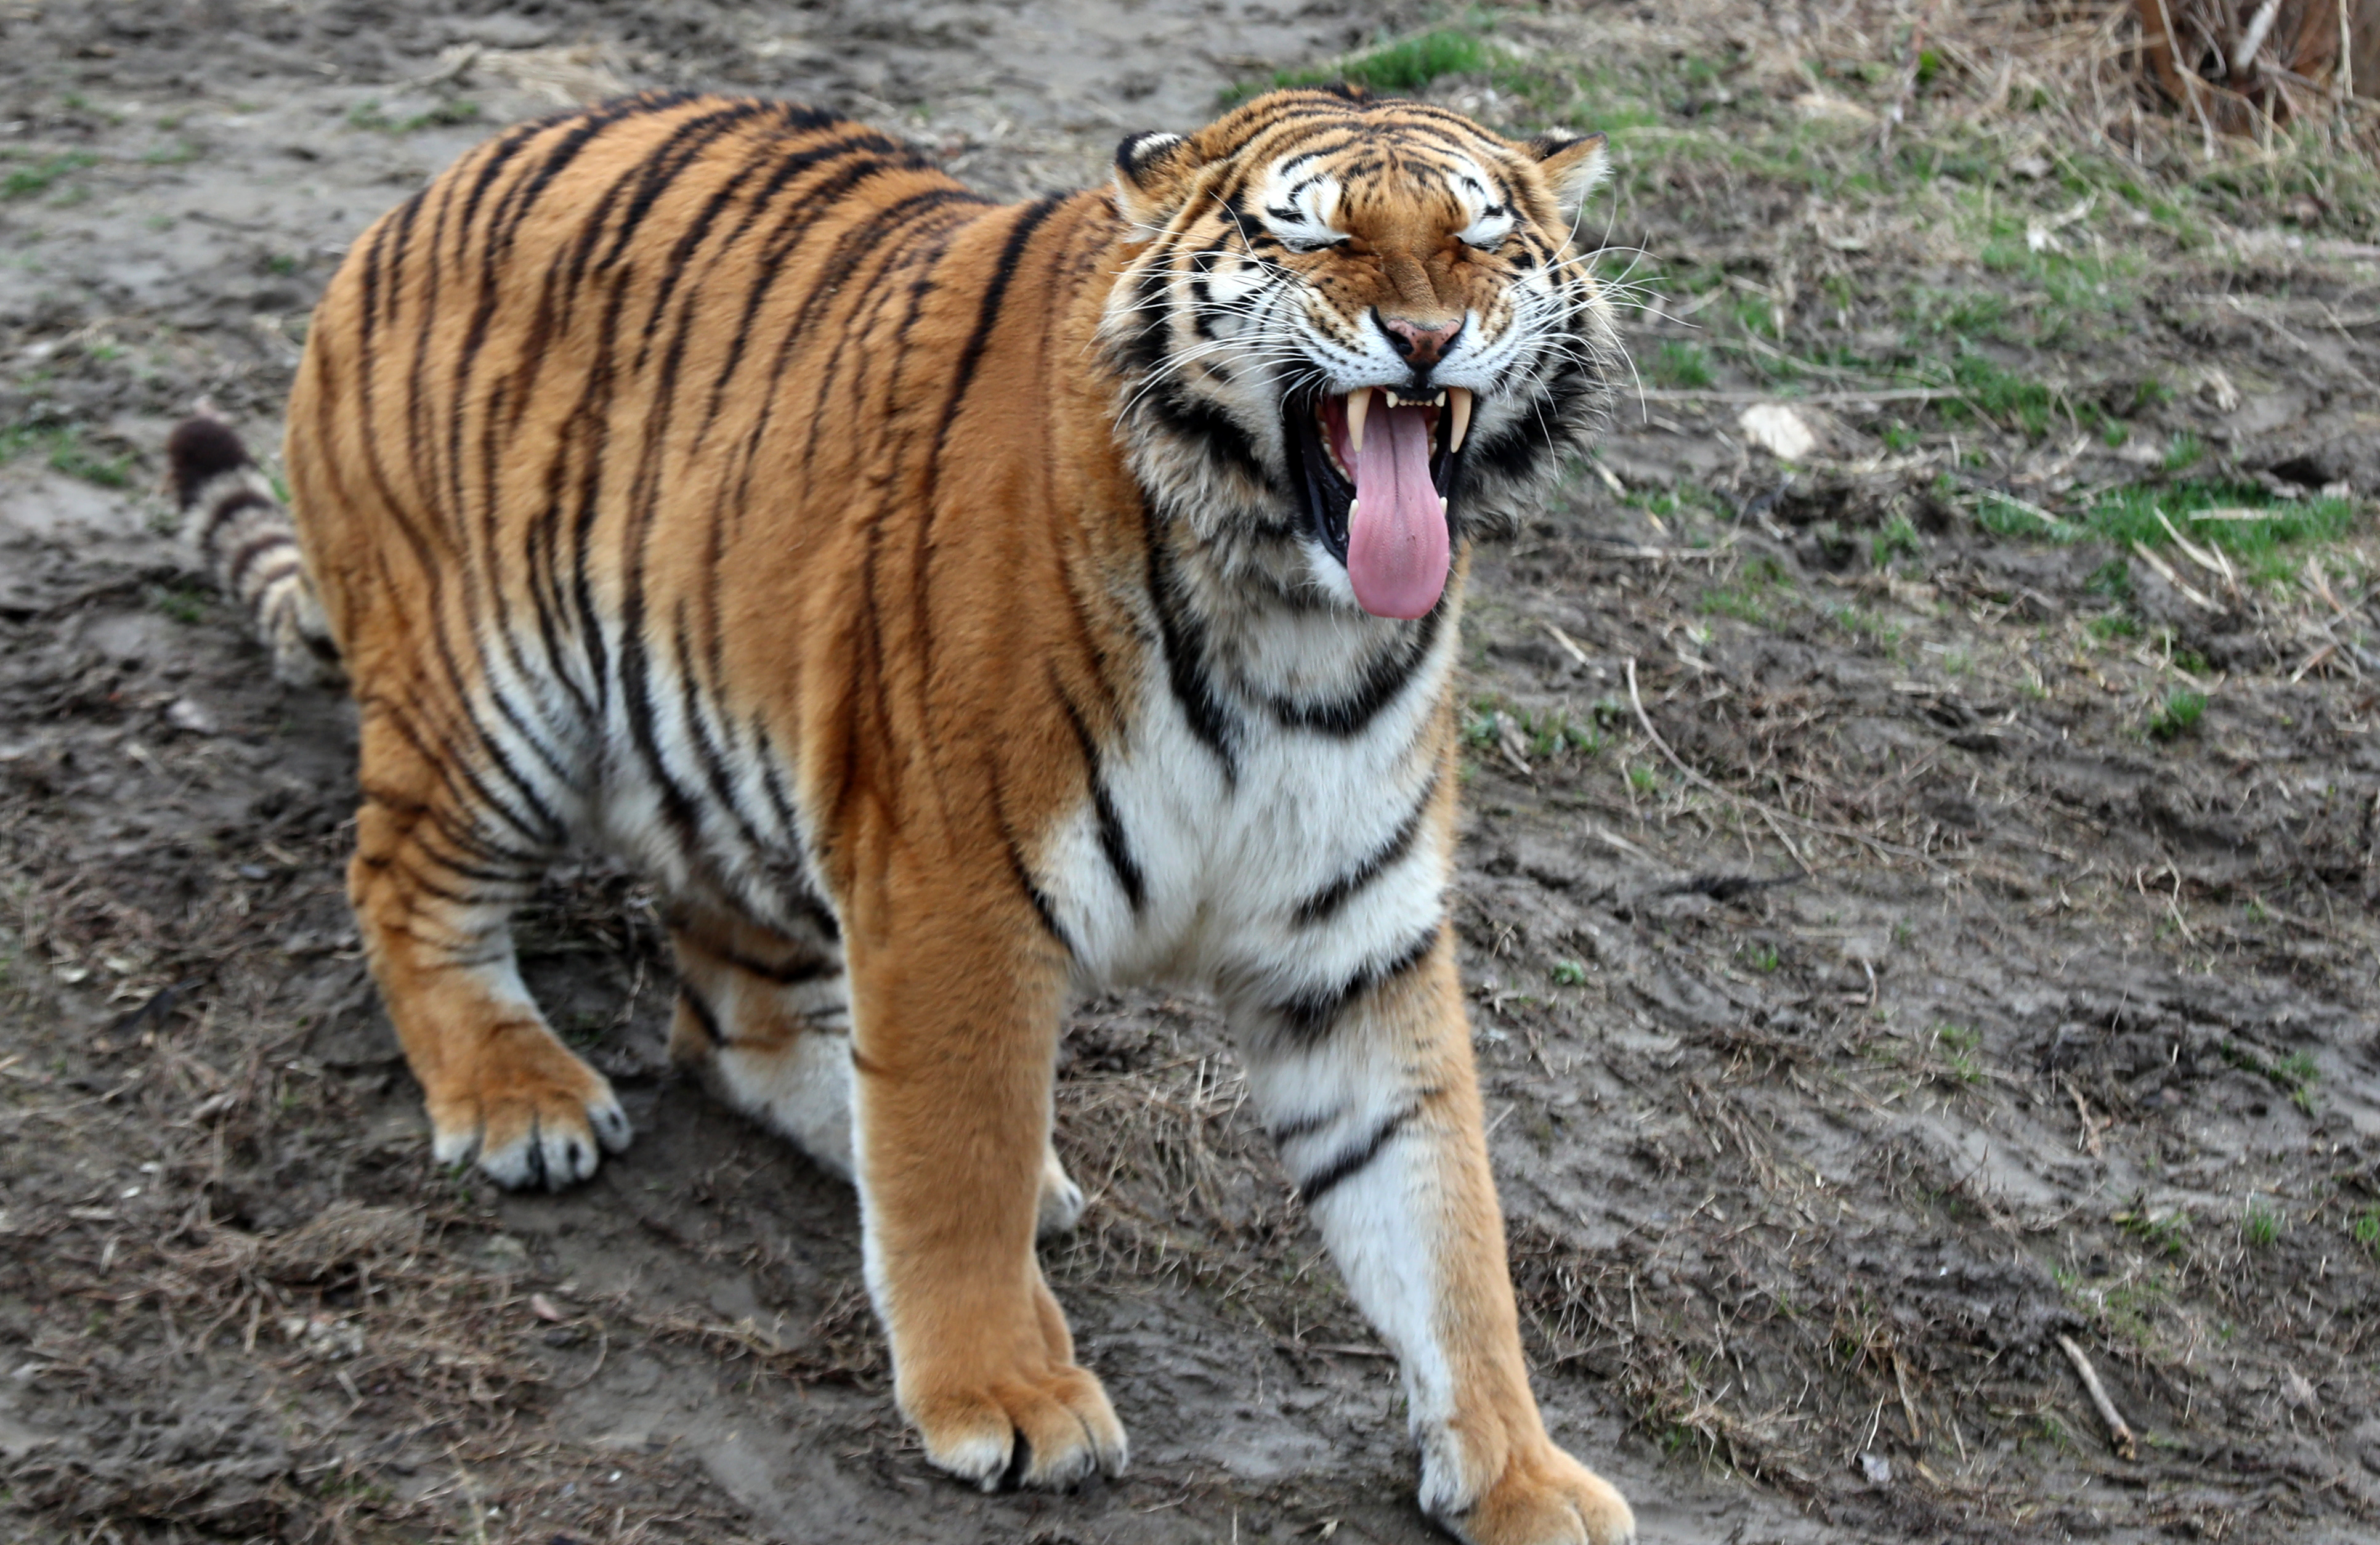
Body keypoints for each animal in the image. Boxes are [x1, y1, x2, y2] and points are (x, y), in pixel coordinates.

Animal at [172, 87, 1637, 1543]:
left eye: (1480, 241)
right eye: (1315, 238)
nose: (1424, 340)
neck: (1296, 621)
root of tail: (411, 203)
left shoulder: (1357, 946)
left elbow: (1444, 1222)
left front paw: (1521, 1475)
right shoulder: (957, 886)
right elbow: (956, 1150)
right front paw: (1007, 1395)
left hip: (753, 766)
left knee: (738, 1027)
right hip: (493, 695)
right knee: (399, 884)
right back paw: (518, 1098)